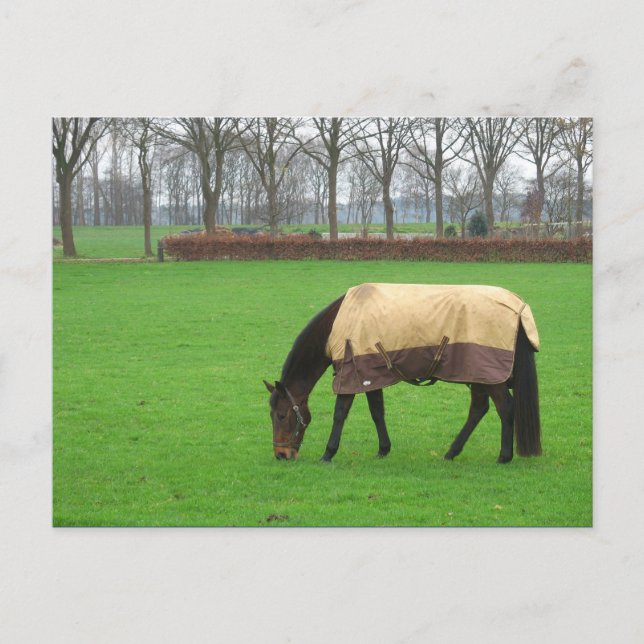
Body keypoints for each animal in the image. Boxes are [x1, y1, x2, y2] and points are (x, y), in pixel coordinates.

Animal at [264, 283, 542, 464]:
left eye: (281, 415)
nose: (281, 455)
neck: (341, 321)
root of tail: (518, 307)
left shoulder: (350, 375)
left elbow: (340, 413)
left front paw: (329, 452)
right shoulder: (368, 374)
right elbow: (377, 411)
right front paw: (383, 449)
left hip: (490, 376)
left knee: (505, 408)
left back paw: (504, 456)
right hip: (479, 375)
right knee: (478, 409)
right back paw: (452, 452)